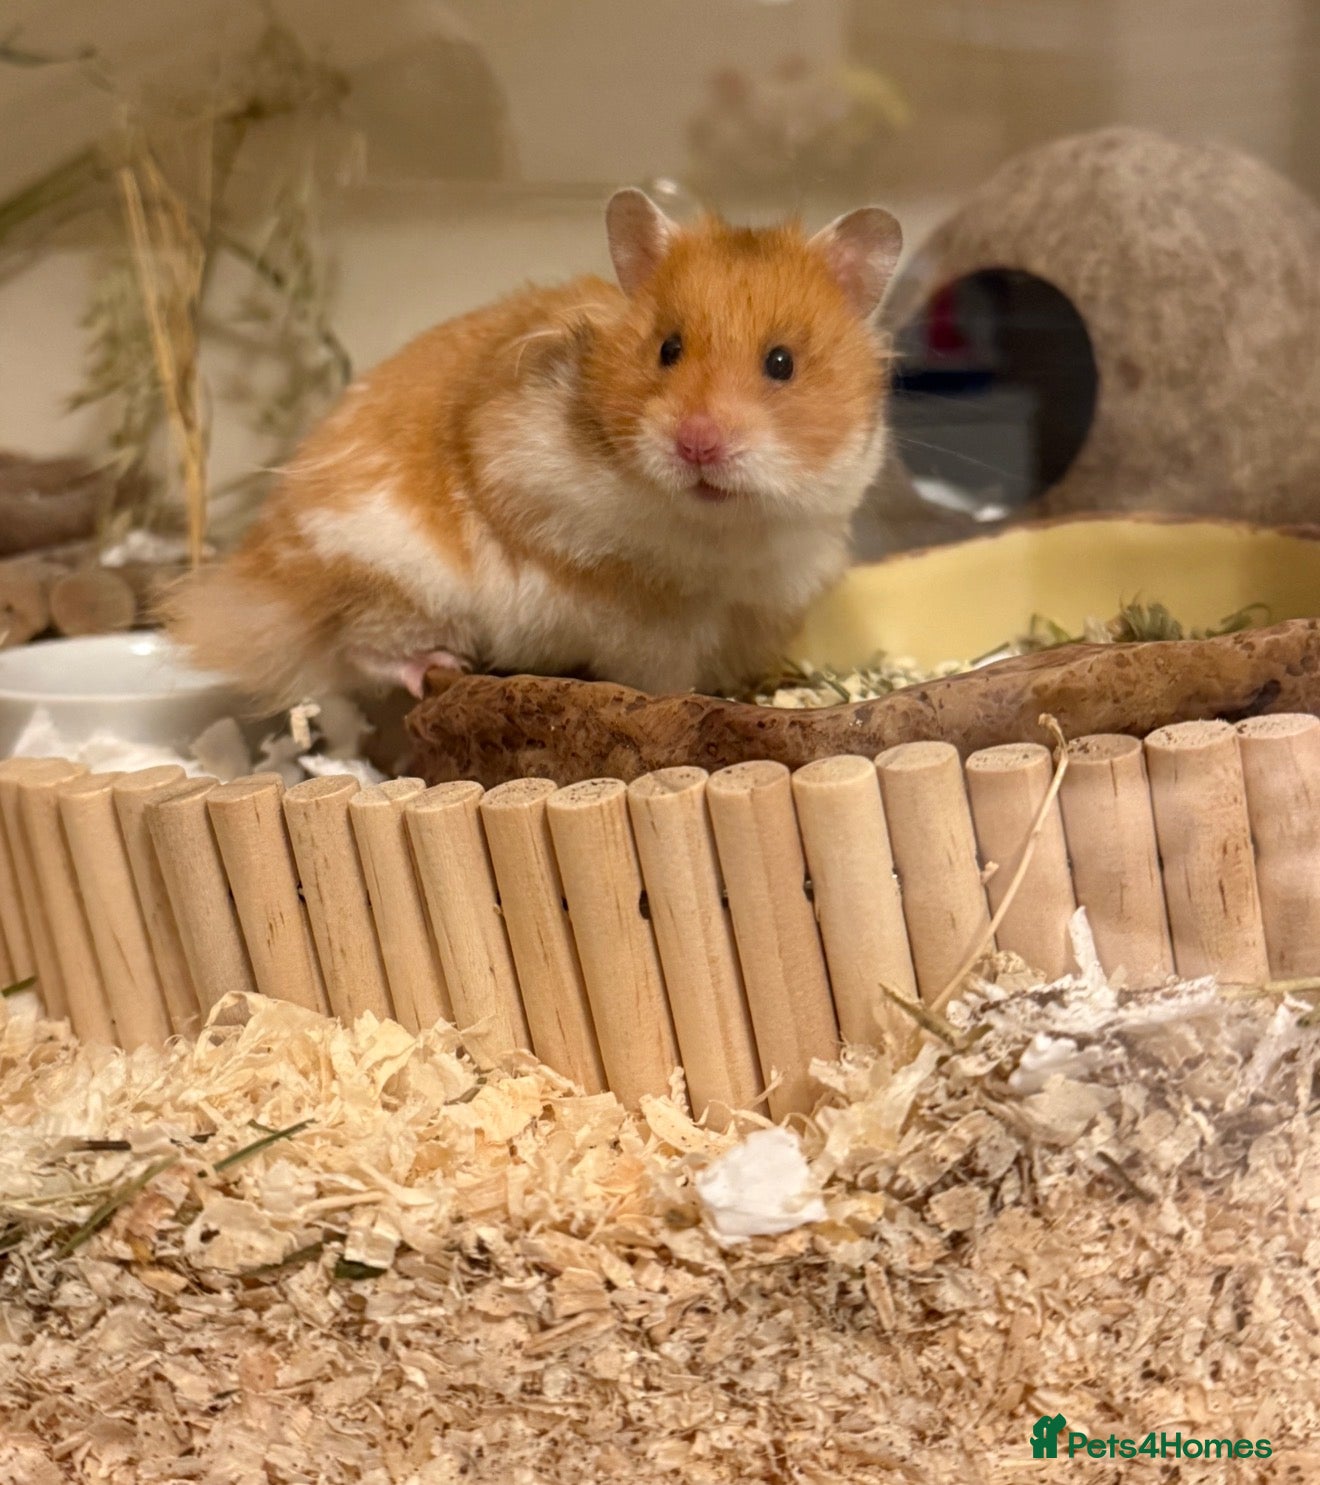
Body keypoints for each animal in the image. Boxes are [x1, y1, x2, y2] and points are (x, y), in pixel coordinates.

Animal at [162, 189, 902, 707]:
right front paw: (683, 696)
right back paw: (437, 665)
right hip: (387, 576)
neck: (720, 529)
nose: (697, 444)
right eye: (667, 348)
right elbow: (645, 645)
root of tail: (256, 578)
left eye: (782, 363)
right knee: (360, 647)